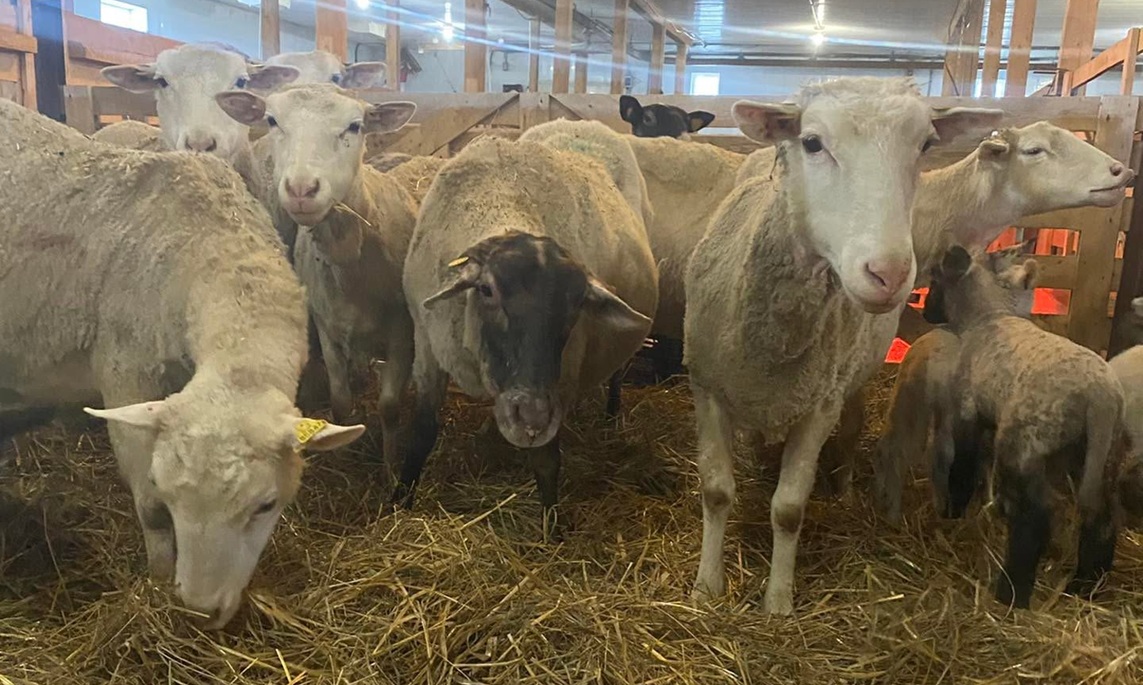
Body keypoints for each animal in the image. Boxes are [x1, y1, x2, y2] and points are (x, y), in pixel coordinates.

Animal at [0, 99, 364, 628]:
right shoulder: (126, 374)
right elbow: (148, 508)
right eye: (169, 494)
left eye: (267, 505)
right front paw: (154, 582)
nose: (199, 611)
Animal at [216, 83, 418, 466]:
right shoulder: (328, 328)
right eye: (272, 120)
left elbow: (389, 407)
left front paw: (392, 466)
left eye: (355, 126)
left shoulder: (402, 332)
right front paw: (343, 455)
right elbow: (340, 401)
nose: (301, 189)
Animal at [395, 135, 658, 539]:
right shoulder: (427, 347)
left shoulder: (562, 377)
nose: (529, 417)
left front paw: (552, 533)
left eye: (577, 304)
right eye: (486, 290)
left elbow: (547, 458)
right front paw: (399, 501)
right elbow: (421, 432)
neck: (503, 197)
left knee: (617, 373)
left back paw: (611, 414)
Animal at [684, 77, 1005, 615]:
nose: (889, 273)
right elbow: (716, 490)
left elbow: (789, 508)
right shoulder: (708, 390)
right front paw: (707, 586)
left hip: (851, 381)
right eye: (812, 143)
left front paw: (778, 600)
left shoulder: (819, 406)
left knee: (852, 431)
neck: (778, 338)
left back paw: (844, 488)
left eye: (926, 145)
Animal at [922, 245, 1125, 609]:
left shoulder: (968, 413)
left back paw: (1011, 593)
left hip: (1025, 442)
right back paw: (1085, 586)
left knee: (1035, 519)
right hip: (1100, 455)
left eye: (935, 279)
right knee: (1102, 519)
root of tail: (1101, 398)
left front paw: (953, 510)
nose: (925, 312)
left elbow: (964, 465)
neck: (987, 318)